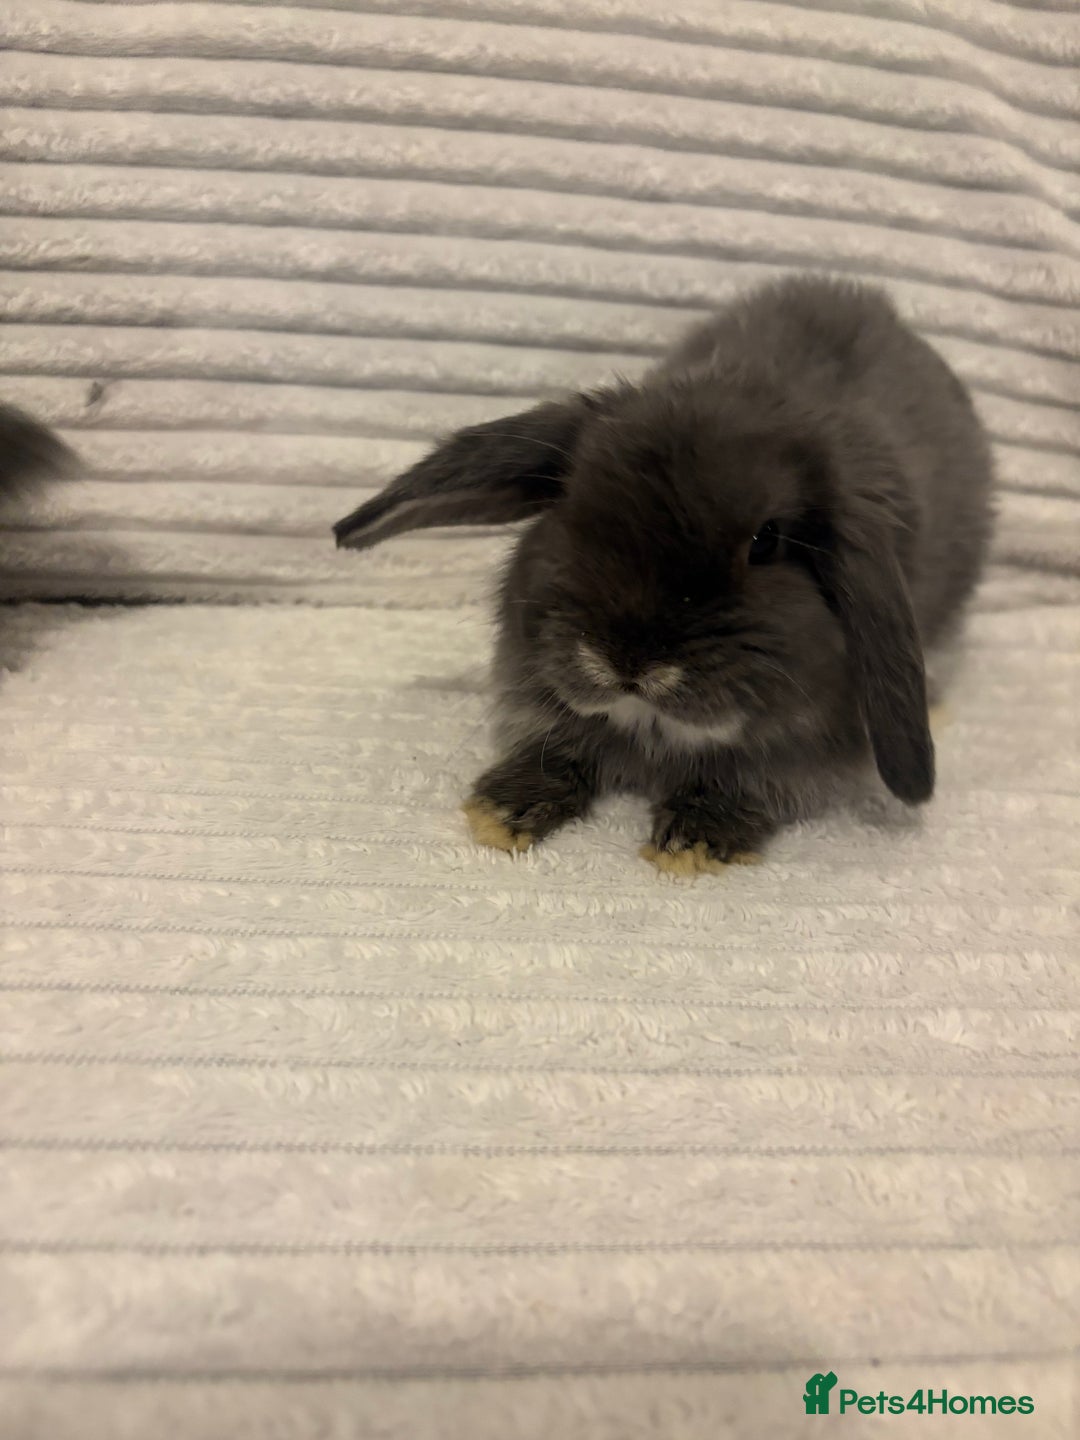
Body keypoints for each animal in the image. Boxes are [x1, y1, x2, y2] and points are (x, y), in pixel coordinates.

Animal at [334, 275, 994, 872]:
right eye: (571, 506)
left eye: (767, 541)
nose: (626, 659)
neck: (653, 729)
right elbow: (555, 751)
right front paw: (501, 813)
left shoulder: (803, 753)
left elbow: (752, 784)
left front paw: (694, 844)